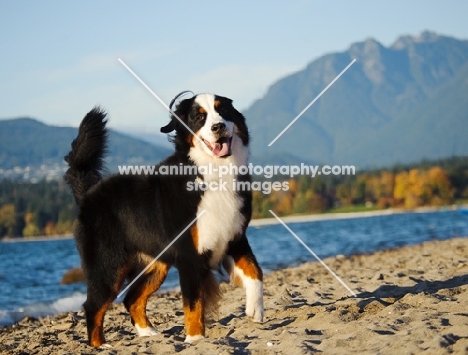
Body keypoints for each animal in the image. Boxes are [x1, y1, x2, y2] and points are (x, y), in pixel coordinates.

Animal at [65, 92, 264, 348]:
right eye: (199, 117)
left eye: (223, 111)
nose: (218, 126)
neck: (213, 172)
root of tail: (90, 192)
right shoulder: (190, 256)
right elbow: (193, 304)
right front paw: (195, 339)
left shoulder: (234, 238)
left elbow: (255, 272)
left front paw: (255, 310)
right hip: (108, 266)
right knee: (93, 306)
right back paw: (101, 346)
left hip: (155, 264)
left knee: (131, 298)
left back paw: (148, 333)